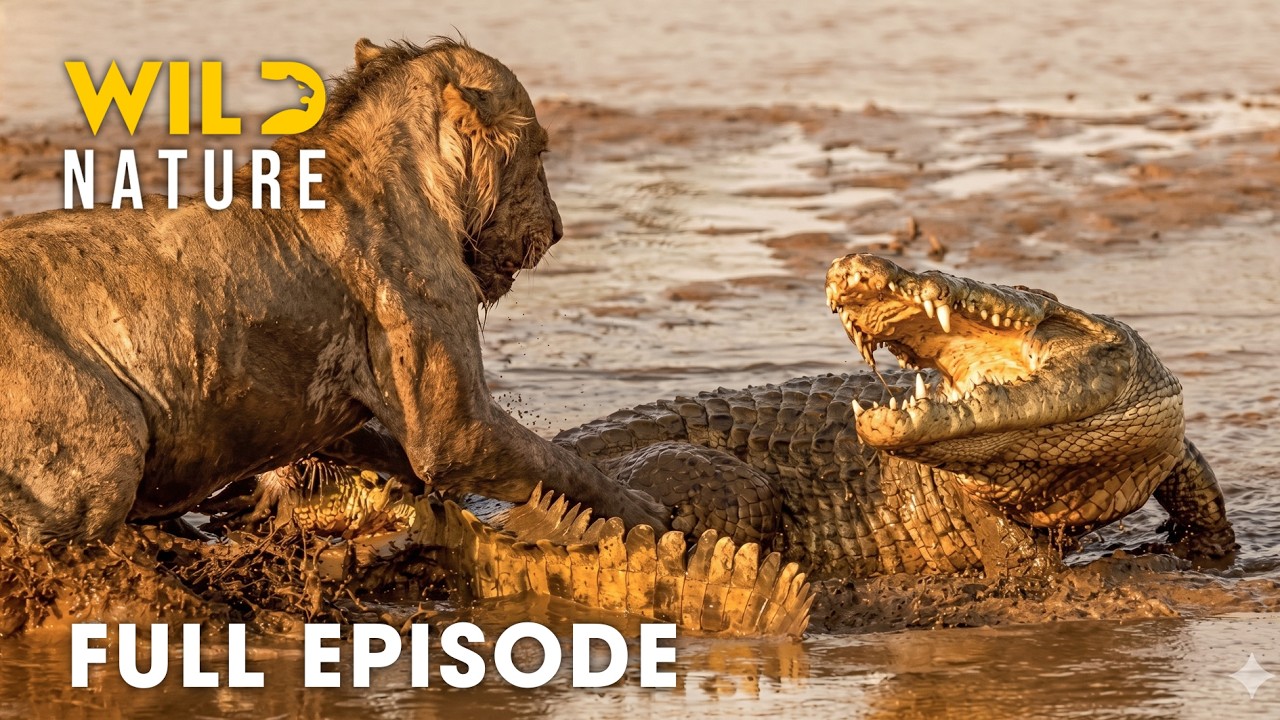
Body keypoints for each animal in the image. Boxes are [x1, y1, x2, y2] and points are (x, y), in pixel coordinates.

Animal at [0, 38, 668, 543]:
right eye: (541, 151)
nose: (556, 229)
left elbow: (388, 451)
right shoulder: (456, 426)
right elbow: (561, 466)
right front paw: (648, 512)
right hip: (102, 454)